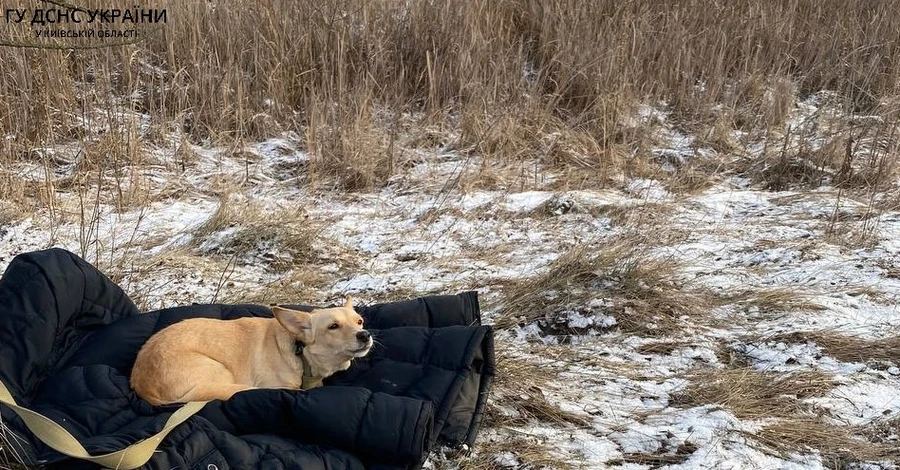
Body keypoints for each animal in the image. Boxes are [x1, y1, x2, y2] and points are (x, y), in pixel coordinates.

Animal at [128, 298, 370, 404]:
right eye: (333, 326)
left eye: (359, 321)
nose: (365, 335)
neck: (299, 351)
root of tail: (143, 386)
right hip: (219, 371)